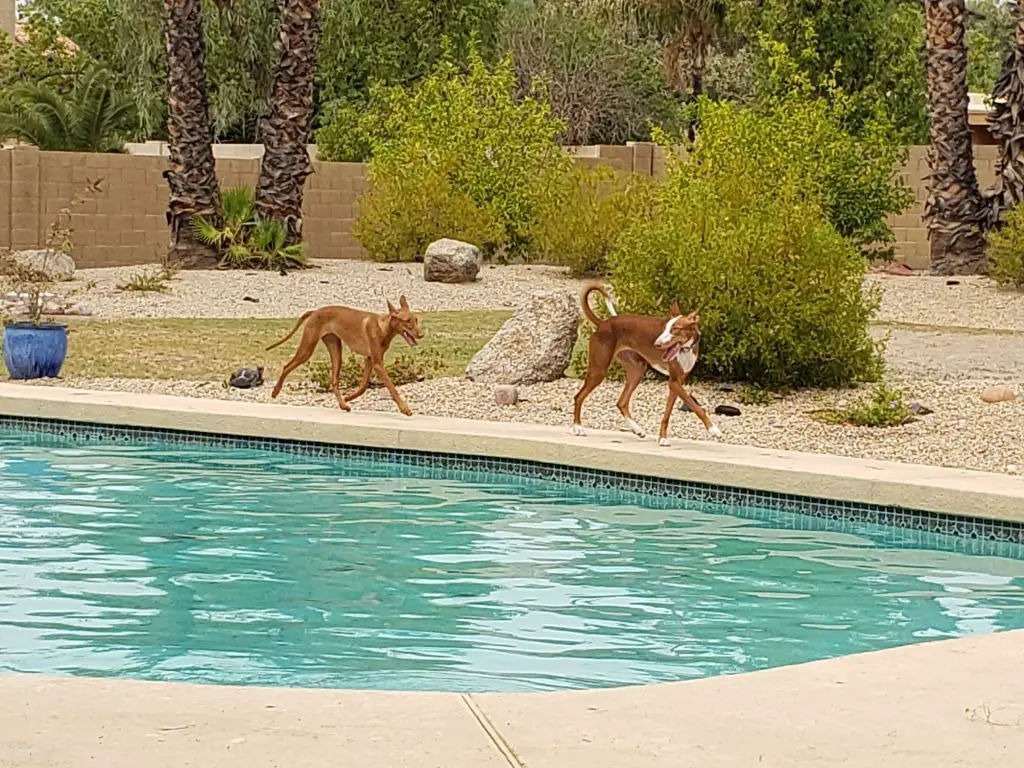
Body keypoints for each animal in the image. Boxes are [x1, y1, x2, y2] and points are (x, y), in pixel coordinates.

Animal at [268, 296, 423, 415]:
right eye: (407, 321)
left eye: (416, 320)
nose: (421, 335)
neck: (383, 327)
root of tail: (315, 311)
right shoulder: (378, 364)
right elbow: (392, 387)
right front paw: (405, 408)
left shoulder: (370, 360)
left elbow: (362, 387)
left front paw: (348, 397)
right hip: (307, 349)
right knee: (287, 366)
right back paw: (275, 392)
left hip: (335, 350)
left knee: (334, 381)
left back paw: (343, 404)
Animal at [573, 284, 724, 448]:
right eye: (665, 329)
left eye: (675, 329)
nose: (656, 344)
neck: (685, 349)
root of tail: (602, 323)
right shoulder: (674, 382)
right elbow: (696, 407)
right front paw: (714, 430)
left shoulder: (677, 383)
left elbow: (667, 414)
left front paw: (662, 437)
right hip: (599, 371)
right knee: (578, 397)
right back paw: (577, 427)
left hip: (637, 370)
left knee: (621, 402)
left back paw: (637, 429)